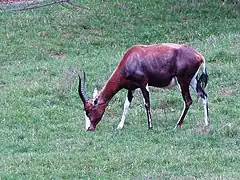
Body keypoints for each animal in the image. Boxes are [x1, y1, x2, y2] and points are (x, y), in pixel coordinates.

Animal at [78, 43, 208, 131]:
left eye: (89, 110)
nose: (89, 128)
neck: (132, 57)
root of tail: (199, 56)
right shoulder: (131, 88)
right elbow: (126, 106)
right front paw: (120, 126)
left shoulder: (143, 84)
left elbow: (147, 103)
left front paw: (150, 126)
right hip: (193, 81)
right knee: (204, 95)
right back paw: (207, 124)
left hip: (183, 82)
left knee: (188, 100)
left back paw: (177, 125)